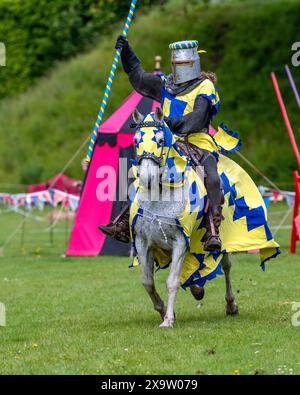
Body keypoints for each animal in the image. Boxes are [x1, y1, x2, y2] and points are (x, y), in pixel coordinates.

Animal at [132, 106, 238, 330]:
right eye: (136, 140)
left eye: (160, 140)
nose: (146, 178)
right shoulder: (142, 242)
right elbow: (147, 281)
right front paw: (163, 310)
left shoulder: (180, 241)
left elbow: (172, 281)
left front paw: (168, 320)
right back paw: (197, 289)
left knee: (226, 267)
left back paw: (231, 305)